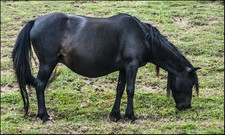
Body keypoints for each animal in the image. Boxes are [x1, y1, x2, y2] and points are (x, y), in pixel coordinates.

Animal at [12, 12, 200, 123]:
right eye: (191, 84)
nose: (185, 106)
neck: (144, 37)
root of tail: (35, 21)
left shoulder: (124, 68)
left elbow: (120, 89)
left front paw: (116, 115)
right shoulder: (132, 66)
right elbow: (130, 90)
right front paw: (132, 116)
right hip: (47, 63)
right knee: (40, 85)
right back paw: (44, 116)